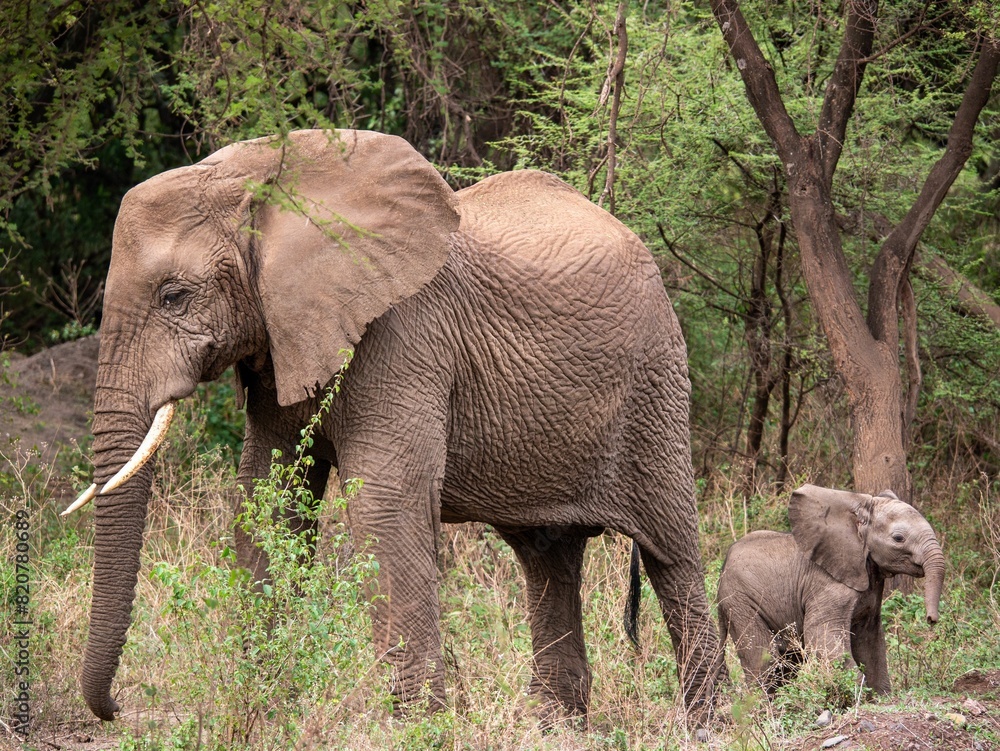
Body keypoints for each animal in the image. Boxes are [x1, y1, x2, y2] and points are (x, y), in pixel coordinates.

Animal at [65, 129, 725, 724]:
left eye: (174, 296)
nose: (116, 709)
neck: (266, 175)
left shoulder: (403, 335)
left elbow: (385, 506)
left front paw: (418, 726)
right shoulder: (282, 339)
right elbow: (270, 501)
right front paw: (262, 709)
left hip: (656, 383)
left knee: (671, 553)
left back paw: (704, 725)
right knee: (547, 557)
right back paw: (554, 726)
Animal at [715, 484, 944, 696]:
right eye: (898, 538)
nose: (931, 620)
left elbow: (870, 640)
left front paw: (881, 697)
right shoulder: (827, 584)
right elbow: (822, 635)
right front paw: (861, 696)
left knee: (789, 659)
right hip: (740, 600)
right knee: (766, 658)